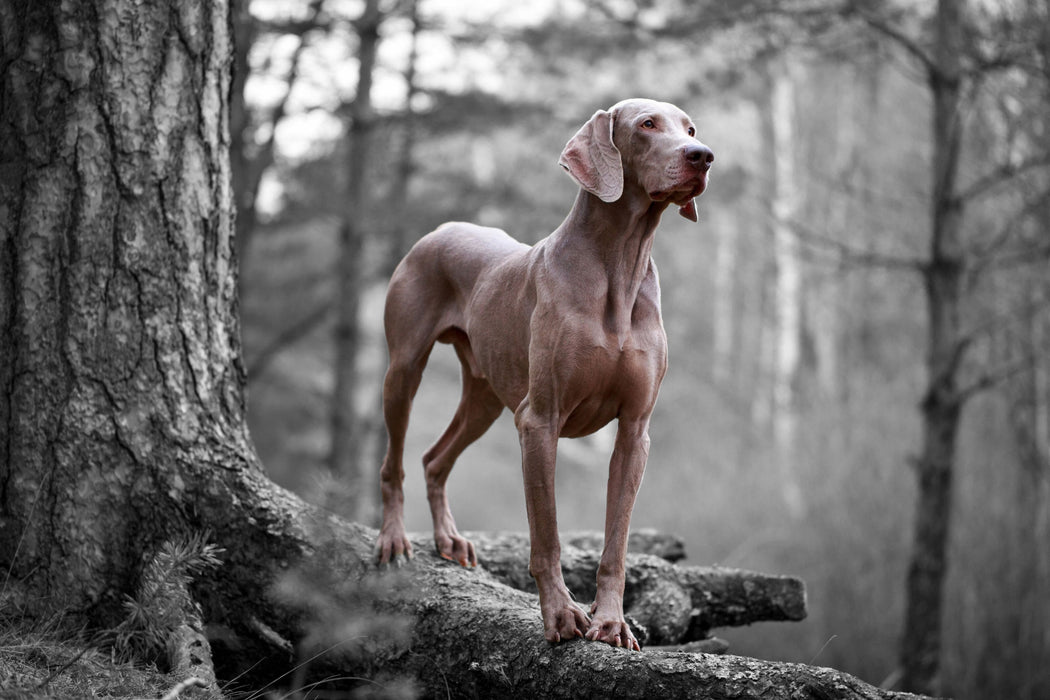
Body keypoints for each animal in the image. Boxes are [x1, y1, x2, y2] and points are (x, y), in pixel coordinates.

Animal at [375, 98, 713, 650]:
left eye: (689, 128)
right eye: (647, 124)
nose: (702, 156)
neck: (619, 265)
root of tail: (441, 229)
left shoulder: (634, 432)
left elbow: (616, 544)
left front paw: (611, 622)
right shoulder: (539, 421)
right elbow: (547, 535)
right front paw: (560, 615)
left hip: (485, 398)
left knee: (433, 458)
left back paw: (449, 539)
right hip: (404, 370)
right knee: (395, 462)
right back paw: (393, 538)